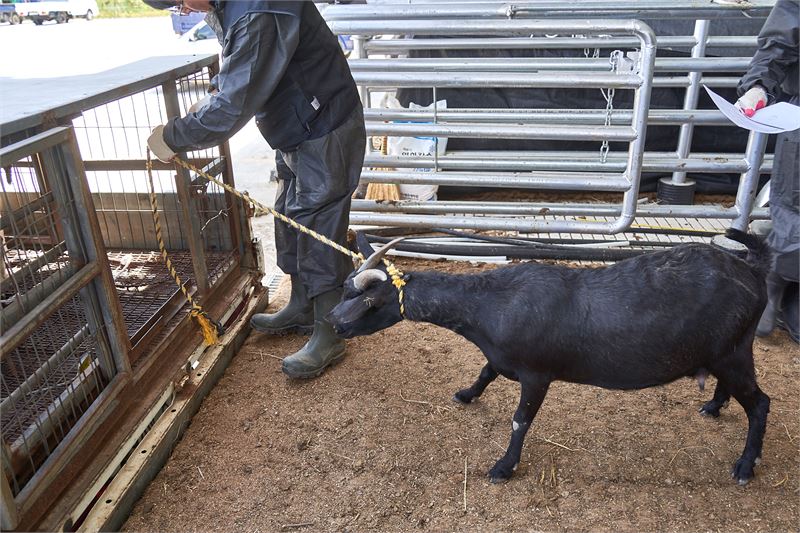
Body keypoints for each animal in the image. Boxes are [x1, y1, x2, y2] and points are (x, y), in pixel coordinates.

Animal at [327, 229, 772, 485]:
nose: (332, 322)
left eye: (367, 300)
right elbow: (486, 371)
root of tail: (753, 270)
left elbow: (519, 420)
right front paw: (467, 394)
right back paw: (713, 406)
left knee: (761, 404)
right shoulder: (502, 358)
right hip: (727, 352)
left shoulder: (537, 374)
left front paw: (504, 467)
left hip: (733, 353)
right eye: (345, 289)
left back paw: (745, 465)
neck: (490, 306)